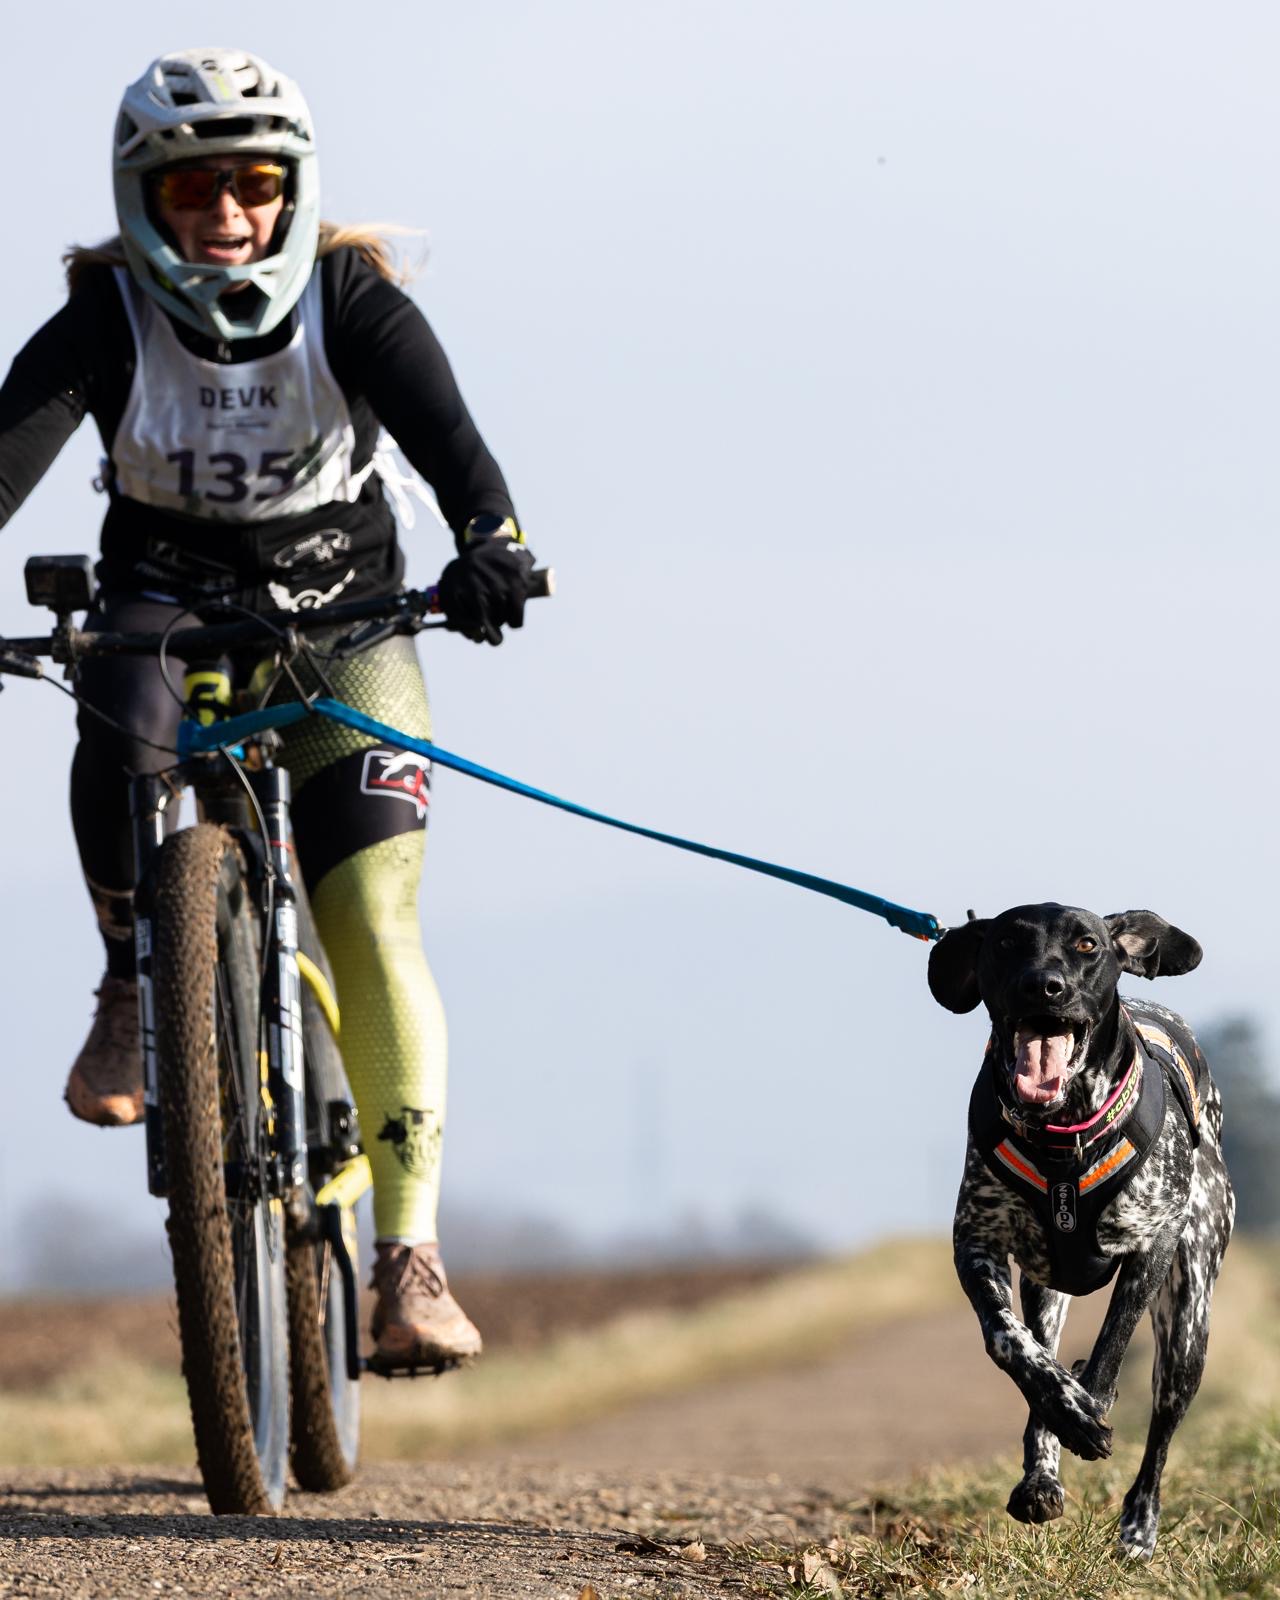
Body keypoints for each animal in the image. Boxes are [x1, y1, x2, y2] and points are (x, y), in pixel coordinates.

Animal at [928, 903, 1233, 1558]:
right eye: (1006, 943)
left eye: (1087, 945)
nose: (1044, 985)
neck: (1062, 1134)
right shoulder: (978, 1243)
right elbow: (1011, 1344)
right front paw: (1066, 1411)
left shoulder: (1151, 1245)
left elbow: (1112, 1343)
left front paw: (1090, 1399)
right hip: (1048, 1290)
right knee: (1039, 1350)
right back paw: (1042, 1474)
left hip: (1188, 1323)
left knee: (1163, 1424)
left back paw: (1138, 1525)